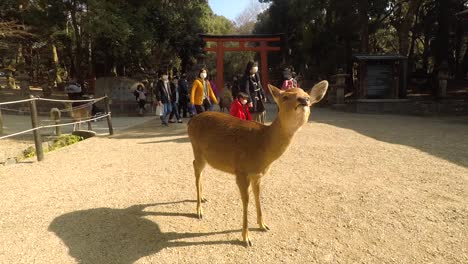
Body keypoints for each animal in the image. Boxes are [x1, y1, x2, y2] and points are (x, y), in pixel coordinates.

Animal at [187, 81, 330, 248]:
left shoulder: (258, 174)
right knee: (195, 167)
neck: (262, 145)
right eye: (285, 96)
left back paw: (203, 198)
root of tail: (190, 121)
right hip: (197, 148)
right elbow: (246, 201)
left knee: (200, 170)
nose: (304, 100)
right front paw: (246, 238)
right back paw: (199, 211)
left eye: (307, 96)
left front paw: (263, 225)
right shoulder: (241, 171)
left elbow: (258, 196)